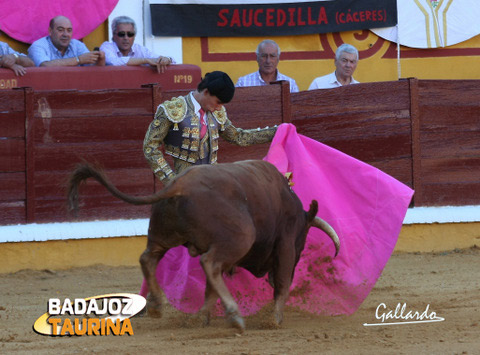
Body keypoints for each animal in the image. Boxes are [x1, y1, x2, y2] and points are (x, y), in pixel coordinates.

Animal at [66, 161, 342, 334]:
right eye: (302, 243)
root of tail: (179, 185)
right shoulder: (284, 244)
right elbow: (284, 282)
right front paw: (275, 319)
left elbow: (211, 287)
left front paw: (202, 317)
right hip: (241, 237)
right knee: (209, 263)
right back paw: (234, 315)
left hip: (163, 235)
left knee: (149, 258)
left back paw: (160, 306)